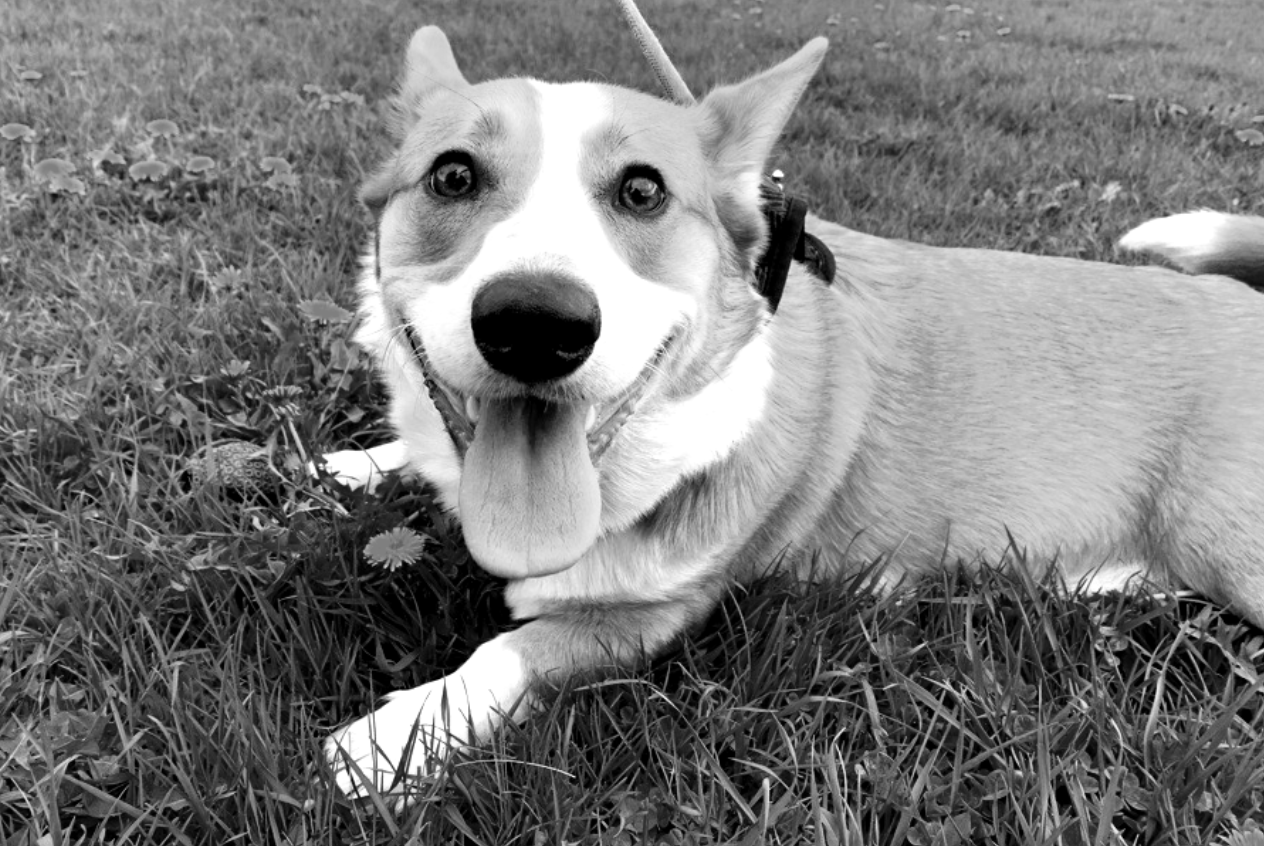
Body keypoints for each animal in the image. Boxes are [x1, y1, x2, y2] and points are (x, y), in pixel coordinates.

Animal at [318, 11, 1264, 799]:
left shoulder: (643, 618)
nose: (535, 325)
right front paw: (362, 463)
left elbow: (508, 653)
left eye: (642, 190)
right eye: (452, 175)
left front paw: (389, 739)